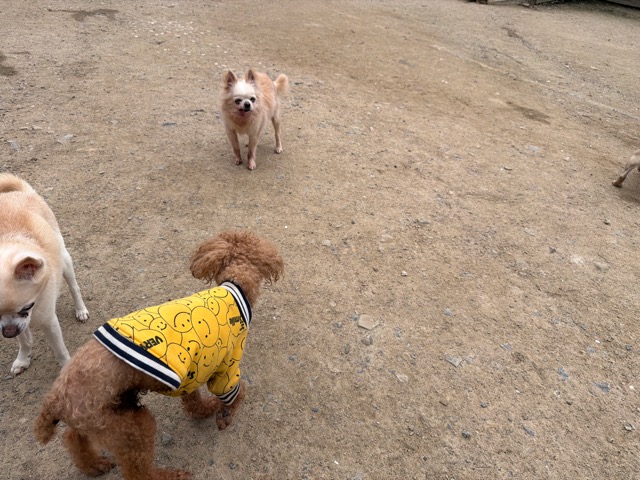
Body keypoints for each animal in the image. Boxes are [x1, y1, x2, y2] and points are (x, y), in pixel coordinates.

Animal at [0, 173, 89, 375]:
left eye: (27, 307)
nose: (8, 333)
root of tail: (24, 193)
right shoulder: (13, 324)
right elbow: (24, 341)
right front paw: (23, 359)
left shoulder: (49, 322)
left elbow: (60, 351)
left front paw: (65, 369)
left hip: (65, 261)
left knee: (74, 288)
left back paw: (80, 309)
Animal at [35, 230, 283, 480]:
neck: (234, 288)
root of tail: (55, 400)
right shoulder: (226, 365)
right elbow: (233, 393)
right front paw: (224, 413)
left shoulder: (192, 372)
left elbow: (194, 403)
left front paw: (207, 410)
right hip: (131, 428)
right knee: (138, 472)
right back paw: (172, 475)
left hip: (105, 420)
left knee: (73, 440)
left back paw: (96, 466)